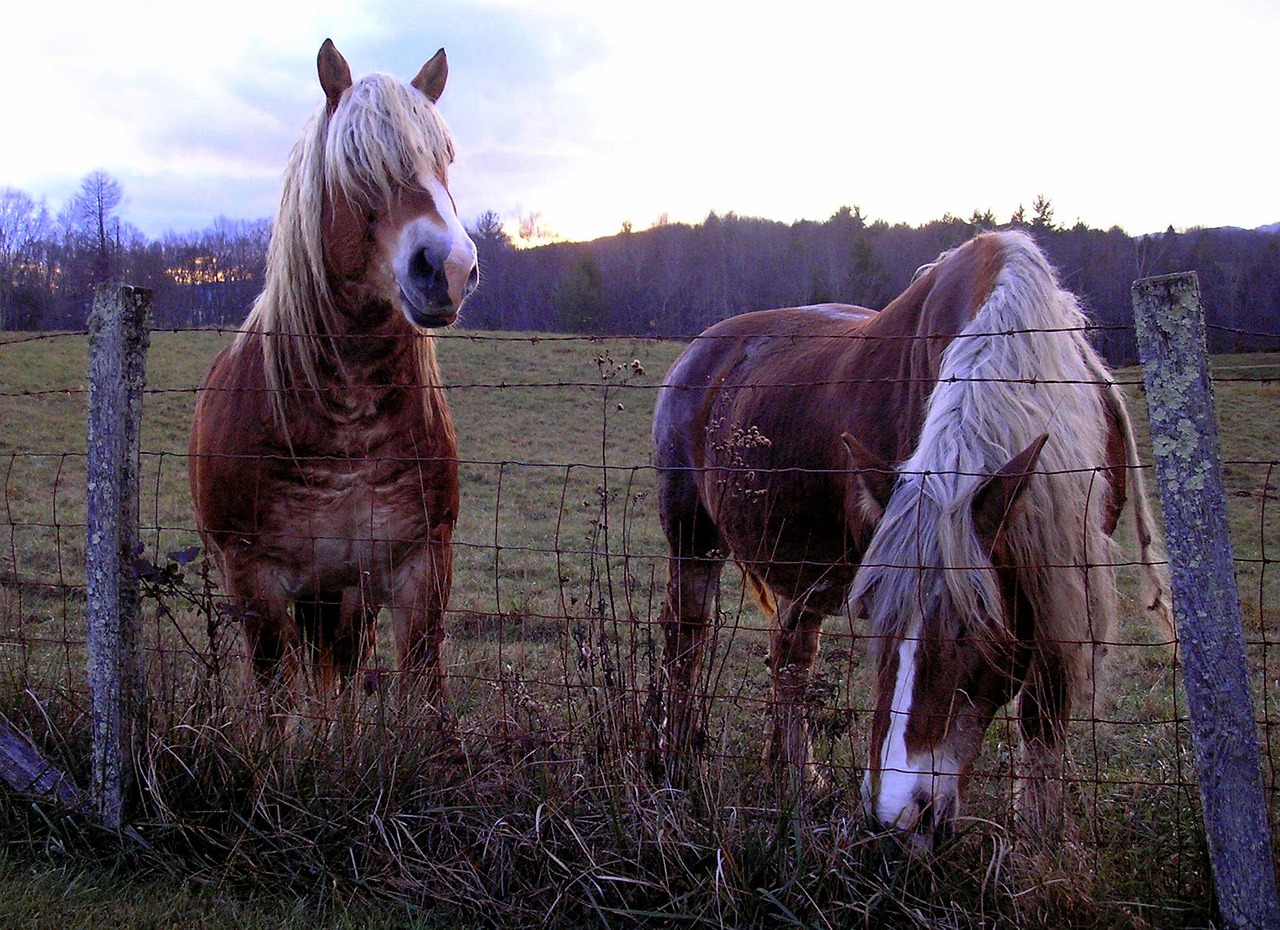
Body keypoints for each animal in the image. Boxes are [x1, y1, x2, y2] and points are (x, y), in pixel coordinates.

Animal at [194, 39, 481, 721]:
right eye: (357, 164)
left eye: (444, 159)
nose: (449, 266)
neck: (347, 421)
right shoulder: (256, 579)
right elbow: (275, 700)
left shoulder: (420, 566)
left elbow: (423, 692)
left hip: (346, 593)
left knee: (344, 674)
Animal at [655, 234, 1167, 844]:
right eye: (878, 617)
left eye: (974, 628)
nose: (896, 817)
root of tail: (698, 351)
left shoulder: (1061, 570)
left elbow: (1043, 716)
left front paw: (1038, 844)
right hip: (694, 541)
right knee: (686, 642)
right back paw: (677, 763)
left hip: (806, 570)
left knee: (789, 657)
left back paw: (797, 780)